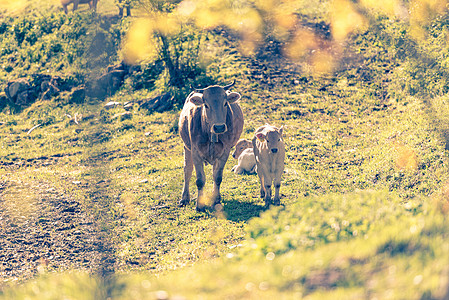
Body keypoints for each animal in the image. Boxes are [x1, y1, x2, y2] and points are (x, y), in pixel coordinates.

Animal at [178, 80, 243, 211]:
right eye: (206, 105)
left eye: (225, 103)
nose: (219, 127)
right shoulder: (195, 152)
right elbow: (199, 180)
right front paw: (199, 205)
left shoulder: (225, 152)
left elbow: (217, 177)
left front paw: (216, 200)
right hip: (186, 147)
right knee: (187, 170)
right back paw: (184, 198)